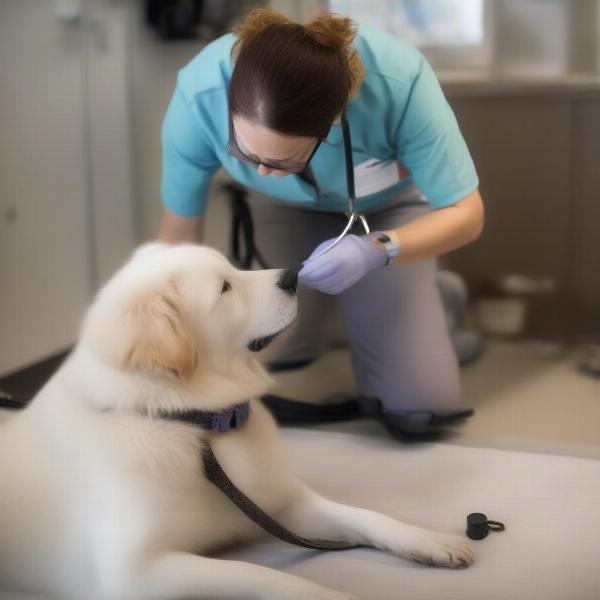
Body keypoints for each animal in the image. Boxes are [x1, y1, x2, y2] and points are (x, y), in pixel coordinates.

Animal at [0, 241, 476, 596]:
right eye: (225, 287)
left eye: (230, 265)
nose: (292, 277)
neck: (196, 426)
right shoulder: (136, 573)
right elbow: (265, 576)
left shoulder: (282, 504)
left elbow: (368, 517)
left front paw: (430, 541)